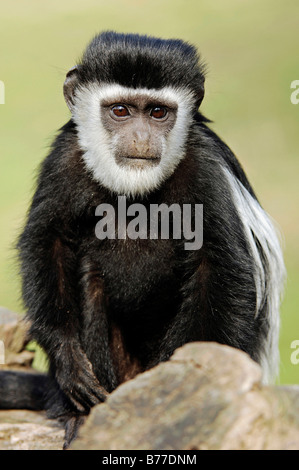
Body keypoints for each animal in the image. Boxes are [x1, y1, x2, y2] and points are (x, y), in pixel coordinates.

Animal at [0, 30, 286, 448]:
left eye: (157, 113)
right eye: (120, 111)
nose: (140, 137)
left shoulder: (206, 168)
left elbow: (220, 268)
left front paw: (188, 389)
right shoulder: (65, 157)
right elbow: (48, 243)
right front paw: (69, 361)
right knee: (89, 273)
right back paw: (84, 416)